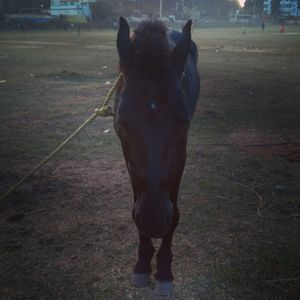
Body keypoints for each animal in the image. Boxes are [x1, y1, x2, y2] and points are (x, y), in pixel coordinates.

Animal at [113, 17, 200, 296]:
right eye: (121, 125)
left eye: (184, 124)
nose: (153, 219)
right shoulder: (127, 158)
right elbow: (135, 204)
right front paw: (142, 262)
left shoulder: (181, 156)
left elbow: (175, 216)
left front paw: (163, 270)